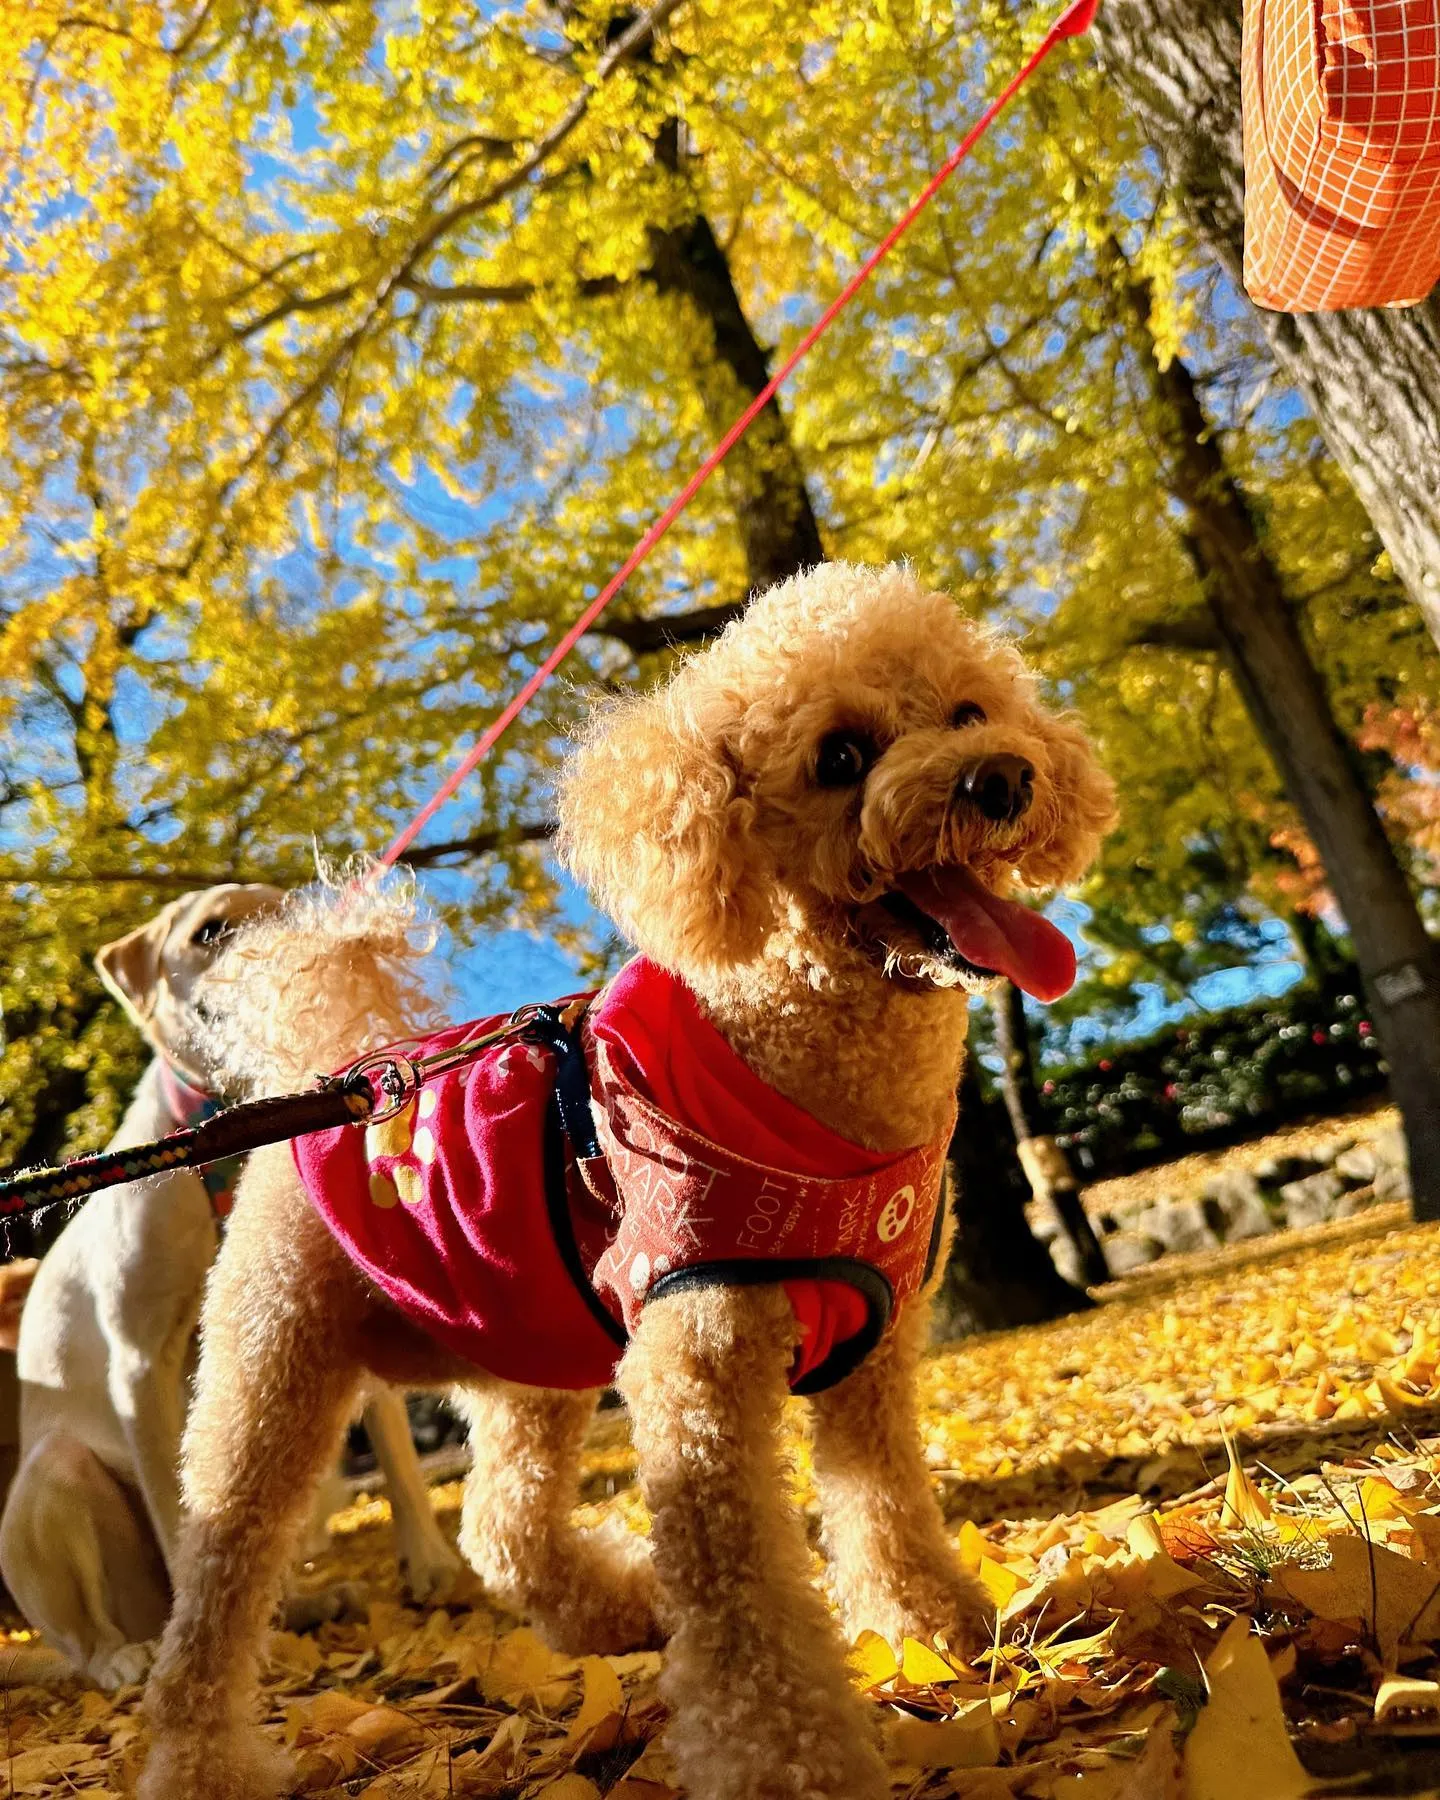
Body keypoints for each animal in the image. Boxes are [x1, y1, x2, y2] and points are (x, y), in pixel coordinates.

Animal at [0, 885, 459, 1684]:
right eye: (209, 931)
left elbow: (400, 1457)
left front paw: (430, 1563)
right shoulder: (140, 1363)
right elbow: (173, 1502)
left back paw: (304, 1604)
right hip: (55, 1480)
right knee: (88, 1638)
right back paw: (128, 1656)